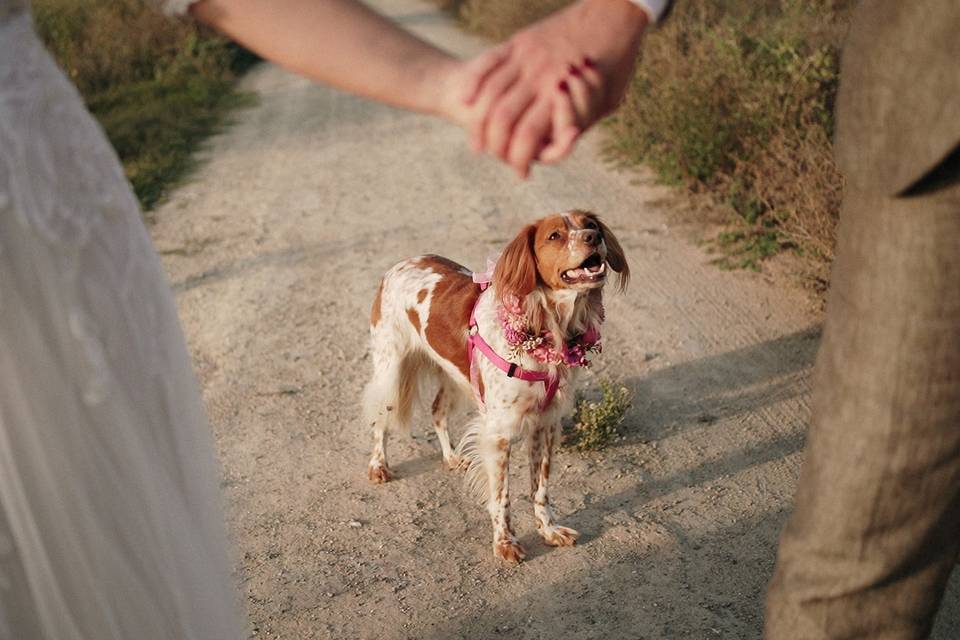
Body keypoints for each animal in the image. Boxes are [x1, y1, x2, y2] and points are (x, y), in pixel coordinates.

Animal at [364, 210, 628, 560]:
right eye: (555, 235)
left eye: (591, 224)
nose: (593, 237)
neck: (545, 325)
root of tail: (398, 265)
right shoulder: (500, 433)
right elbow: (502, 496)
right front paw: (505, 543)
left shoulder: (545, 425)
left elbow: (540, 488)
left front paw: (548, 530)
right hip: (391, 370)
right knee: (380, 419)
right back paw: (378, 466)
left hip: (455, 375)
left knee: (437, 411)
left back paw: (451, 457)